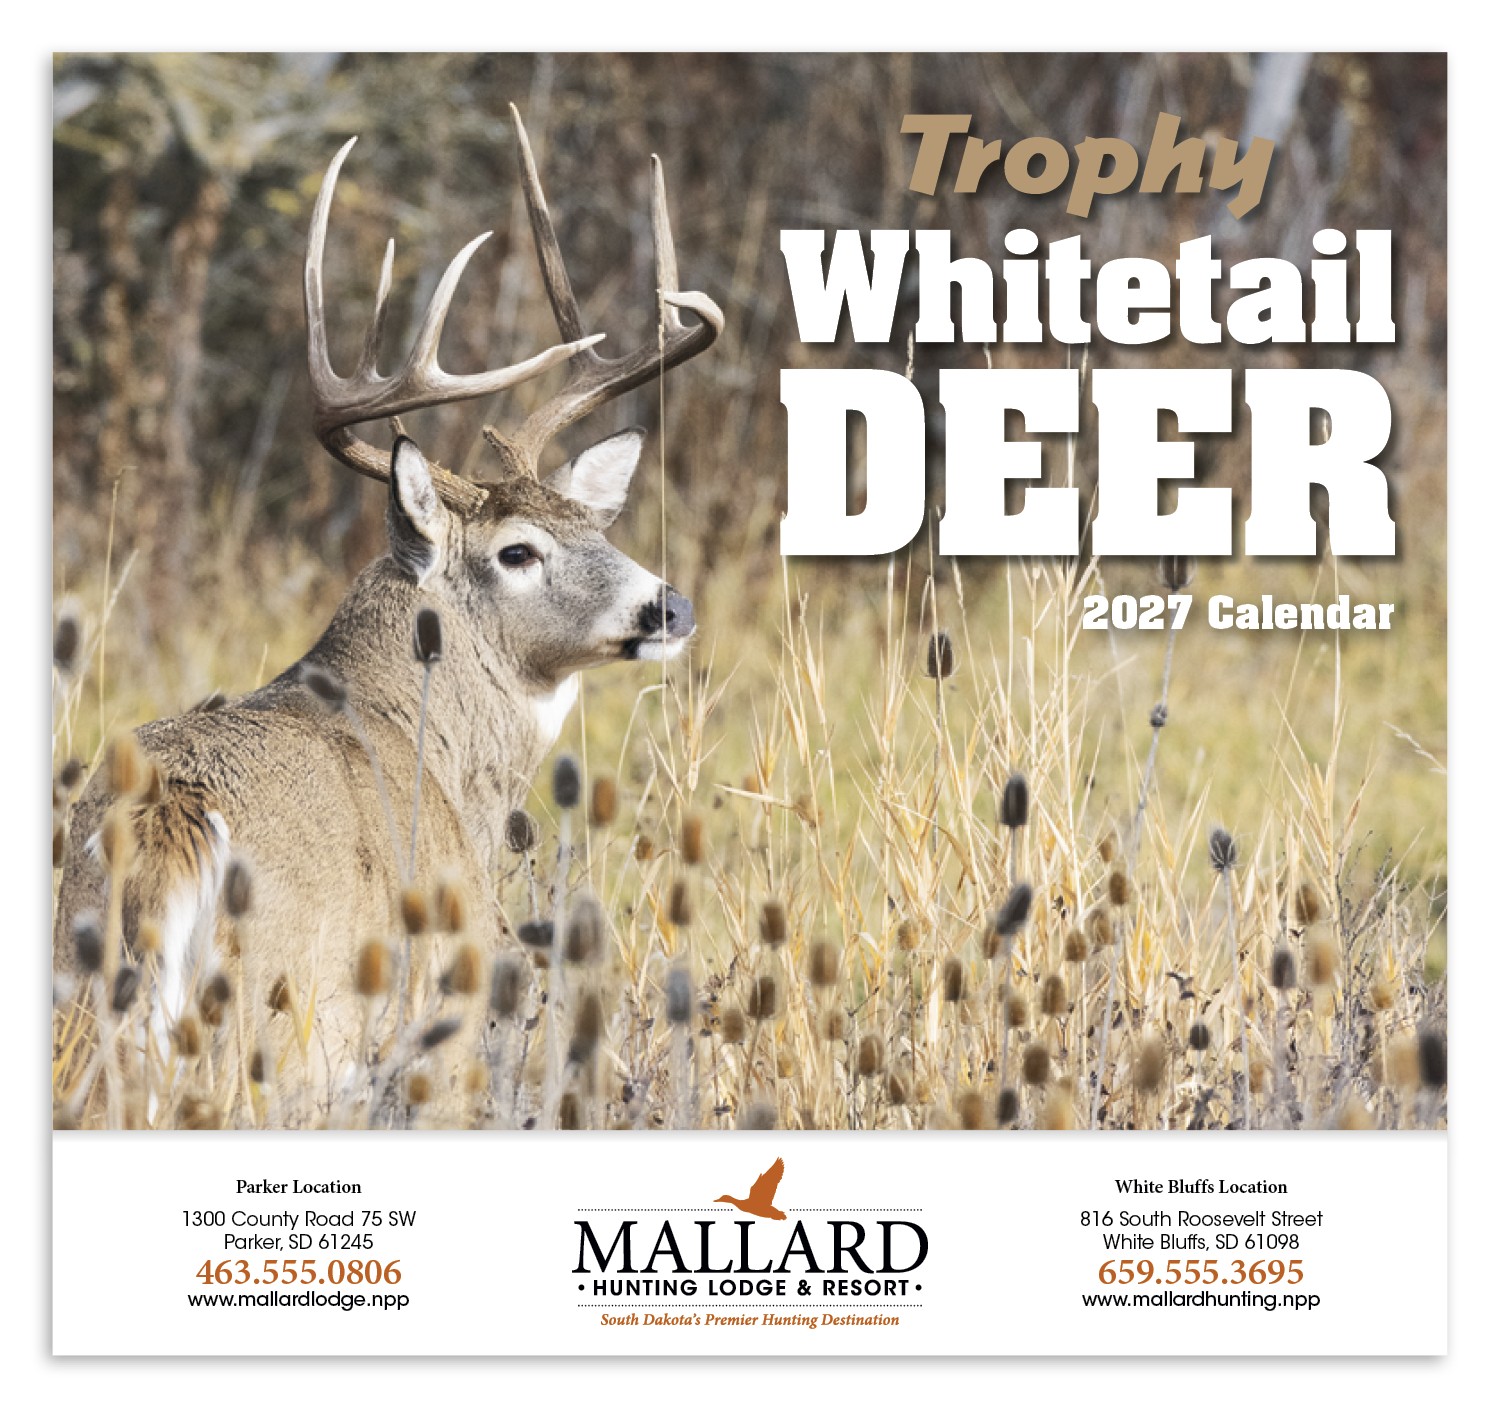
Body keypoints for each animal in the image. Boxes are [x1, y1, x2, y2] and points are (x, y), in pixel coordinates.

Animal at [53, 106, 722, 1127]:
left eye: (589, 523)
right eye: (517, 551)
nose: (669, 605)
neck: (436, 751)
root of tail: (171, 817)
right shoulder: (438, 1019)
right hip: (279, 1031)